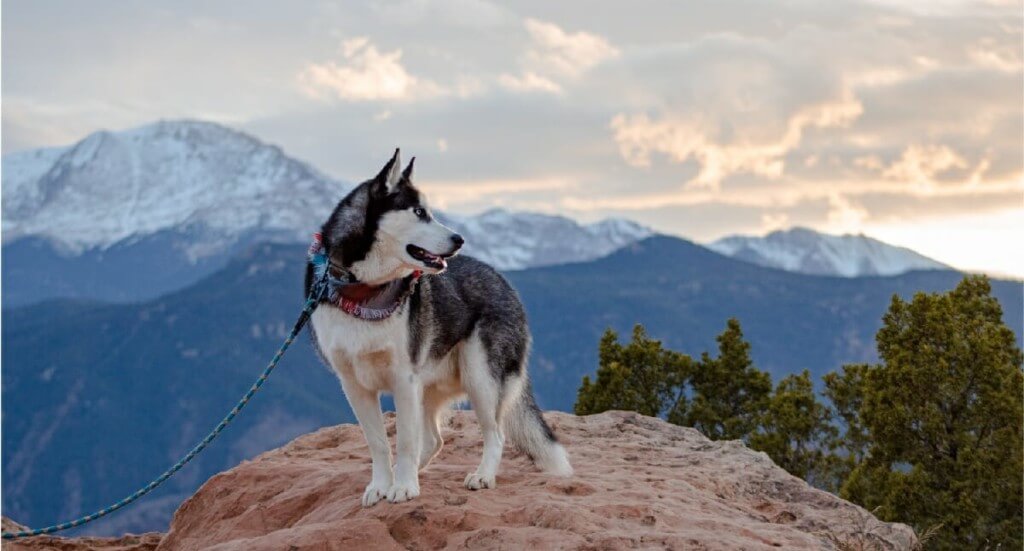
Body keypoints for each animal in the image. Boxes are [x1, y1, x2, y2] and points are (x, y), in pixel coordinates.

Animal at [307, 147, 573, 503]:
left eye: (430, 212)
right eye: (419, 212)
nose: (460, 239)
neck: (365, 291)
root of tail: (502, 280)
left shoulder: (403, 380)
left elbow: (405, 441)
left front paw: (403, 487)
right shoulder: (354, 385)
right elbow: (378, 444)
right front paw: (383, 485)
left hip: (480, 379)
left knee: (496, 434)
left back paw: (481, 476)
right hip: (430, 385)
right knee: (435, 440)